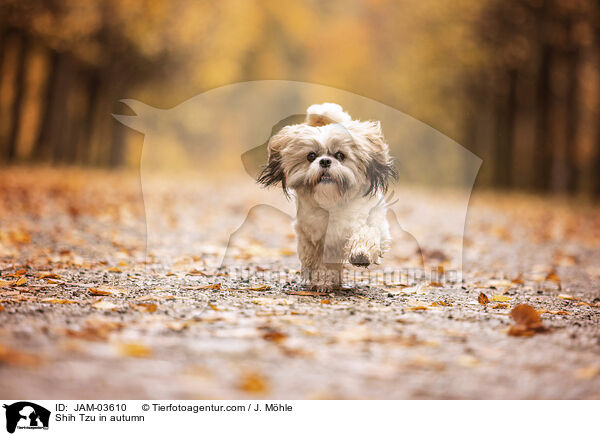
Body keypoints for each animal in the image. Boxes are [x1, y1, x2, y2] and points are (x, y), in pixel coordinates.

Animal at [256, 103, 394, 288]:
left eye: (340, 155)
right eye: (311, 156)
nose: (325, 161)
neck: (334, 201)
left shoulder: (373, 222)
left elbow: (366, 233)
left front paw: (361, 253)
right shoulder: (315, 238)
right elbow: (319, 262)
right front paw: (322, 281)